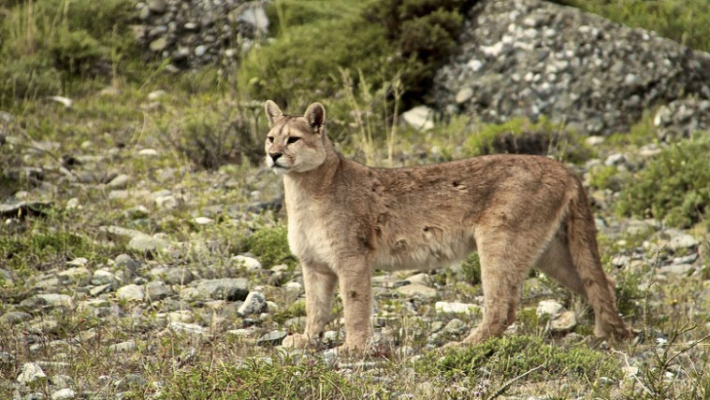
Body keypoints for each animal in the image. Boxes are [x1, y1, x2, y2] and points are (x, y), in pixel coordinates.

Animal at [264, 100, 632, 354]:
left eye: (293, 139)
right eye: (270, 138)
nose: (273, 155)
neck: (304, 190)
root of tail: (563, 167)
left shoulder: (352, 258)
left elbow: (355, 305)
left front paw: (352, 348)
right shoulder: (314, 264)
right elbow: (315, 306)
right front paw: (306, 339)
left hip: (499, 240)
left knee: (503, 307)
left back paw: (464, 345)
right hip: (549, 251)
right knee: (601, 281)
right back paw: (604, 332)